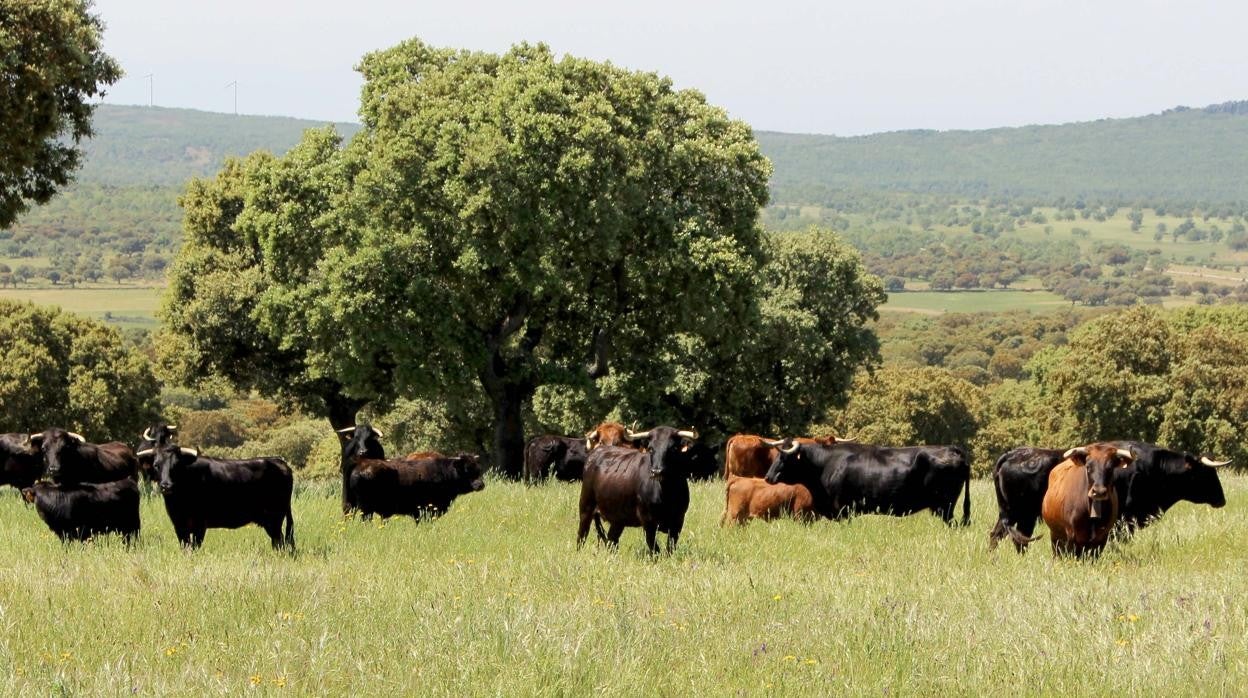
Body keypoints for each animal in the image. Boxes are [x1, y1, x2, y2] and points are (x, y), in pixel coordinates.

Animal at [141, 447, 294, 551]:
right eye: (156, 465)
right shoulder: (179, 524)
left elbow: (194, 547)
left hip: (274, 518)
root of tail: (278, 461)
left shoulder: (199, 524)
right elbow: (185, 547)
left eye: (176, 465)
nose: (166, 485)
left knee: (279, 541)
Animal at [576, 424, 698, 554]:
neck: (666, 493)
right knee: (582, 535)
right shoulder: (648, 521)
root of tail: (597, 452)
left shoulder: (678, 520)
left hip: (618, 518)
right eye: (650, 449)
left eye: (673, 448)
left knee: (612, 540)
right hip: (586, 507)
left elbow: (670, 548)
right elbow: (654, 548)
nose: (656, 471)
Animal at [758, 442, 973, 524]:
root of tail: (953, 449)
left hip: (945, 506)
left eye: (784, 457)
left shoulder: (843, 510)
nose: (768, 477)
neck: (826, 464)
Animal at [988, 442, 1233, 551]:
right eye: (1206, 473)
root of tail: (1013, 454)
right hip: (1020, 514)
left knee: (1003, 536)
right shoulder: (1124, 521)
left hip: (1015, 515)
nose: (1222, 499)